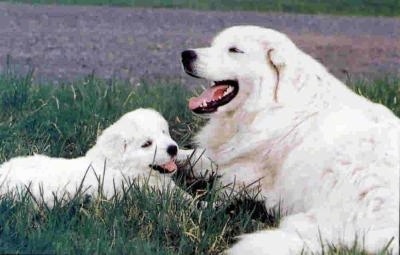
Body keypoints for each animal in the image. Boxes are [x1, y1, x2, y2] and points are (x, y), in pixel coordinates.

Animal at [180, 26, 396, 255]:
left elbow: (219, 192)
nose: (186, 55)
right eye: (214, 44)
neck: (270, 106)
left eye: (234, 50)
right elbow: (190, 156)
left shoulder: (243, 178)